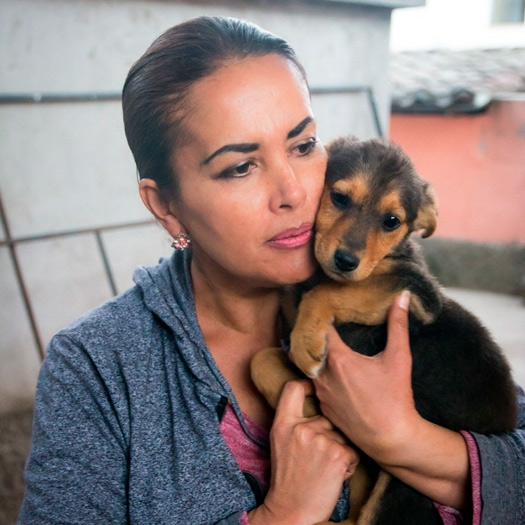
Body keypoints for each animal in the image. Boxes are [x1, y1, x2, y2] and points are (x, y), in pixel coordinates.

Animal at [251, 136, 516, 524]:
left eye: (392, 221)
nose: (346, 261)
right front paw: (306, 400)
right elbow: (260, 358)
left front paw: (306, 341)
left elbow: (331, 291)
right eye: (339, 198)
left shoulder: (418, 294)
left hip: (402, 488)